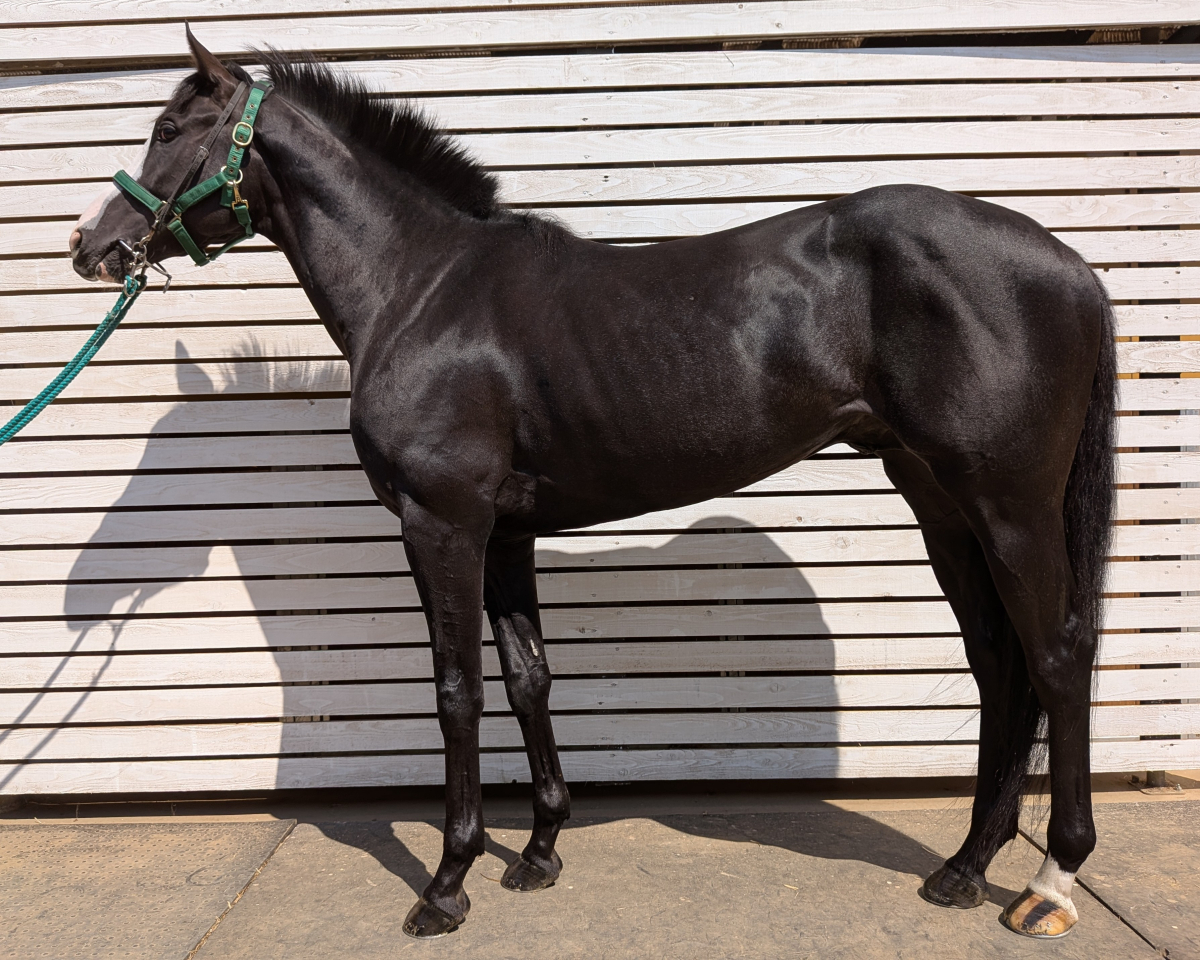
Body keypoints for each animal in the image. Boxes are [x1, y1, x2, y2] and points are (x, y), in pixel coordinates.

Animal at [69, 29, 1116, 941]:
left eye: (170, 128)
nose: (90, 247)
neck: (423, 288)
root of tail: (1068, 264)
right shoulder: (503, 533)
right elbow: (527, 676)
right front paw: (537, 852)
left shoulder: (441, 524)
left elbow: (457, 690)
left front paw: (447, 885)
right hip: (941, 505)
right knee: (999, 666)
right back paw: (966, 866)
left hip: (1011, 508)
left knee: (1058, 658)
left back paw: (1051, 881)